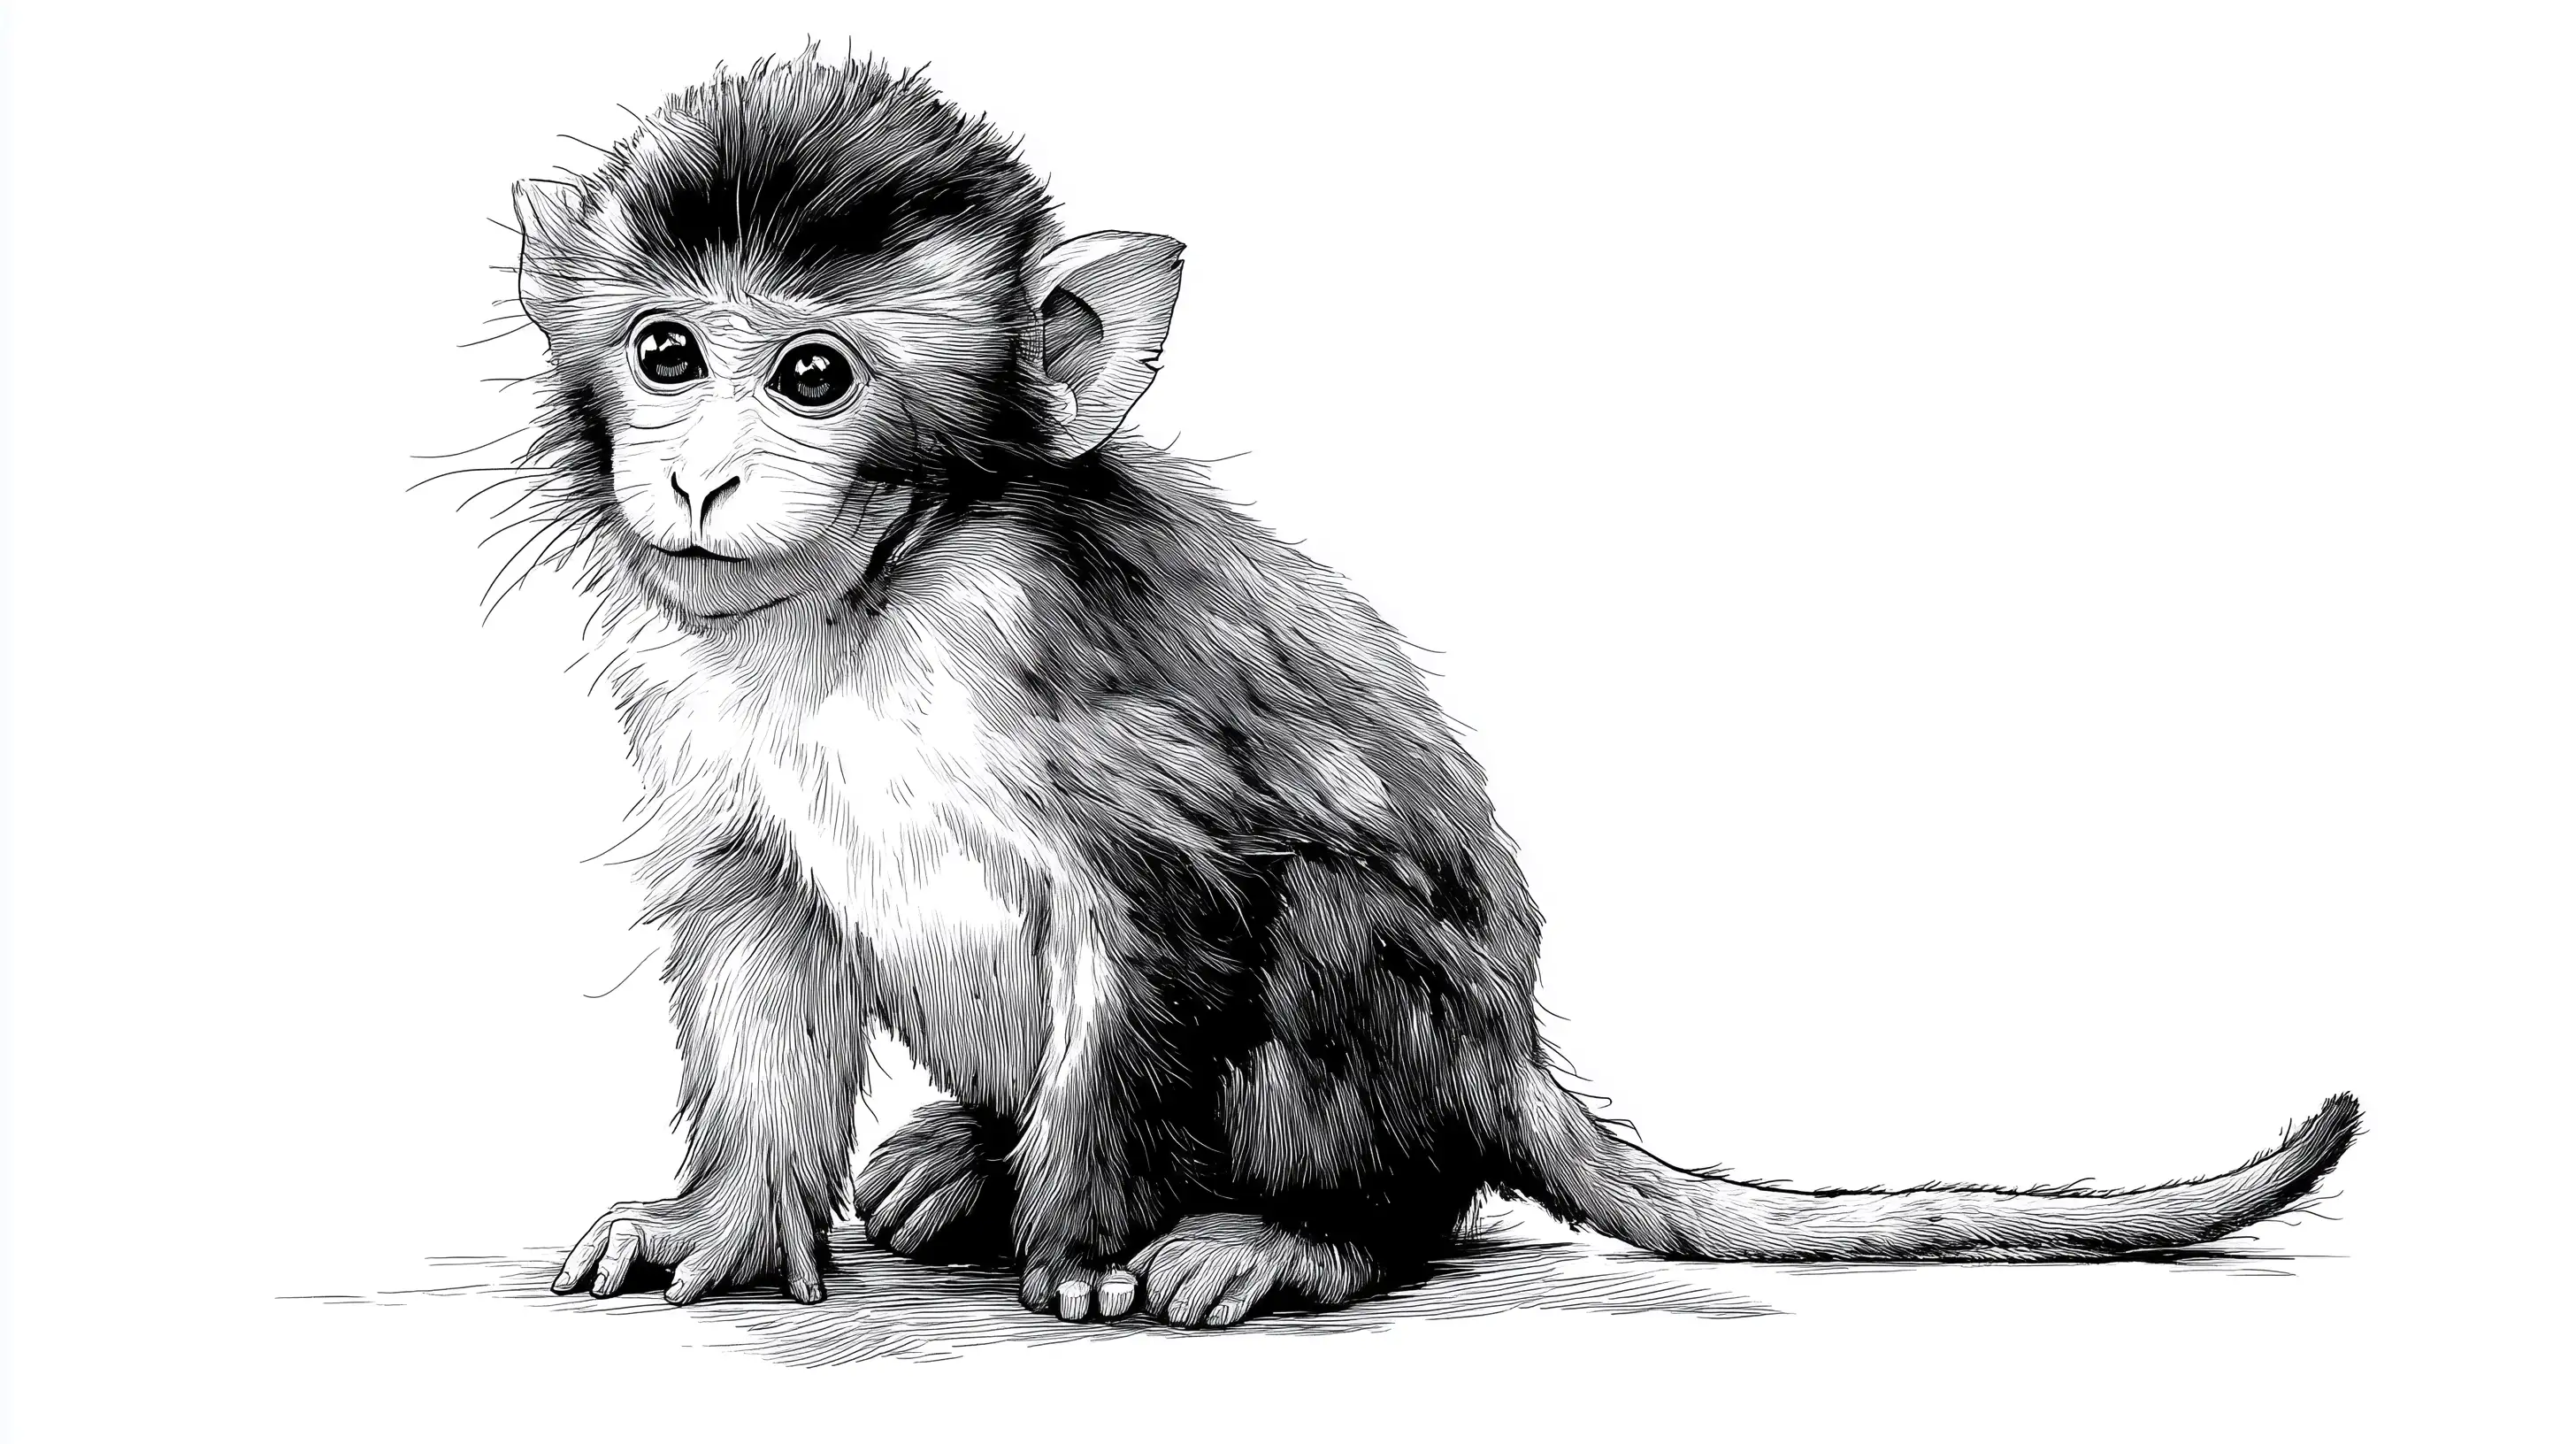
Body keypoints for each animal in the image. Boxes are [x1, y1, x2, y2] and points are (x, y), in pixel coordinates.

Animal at [497, 53, 2359, 1329]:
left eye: (812, 373)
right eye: (667, 352)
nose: (702, 476)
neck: (872, 605)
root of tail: (1504, 1060)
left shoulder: (1081, 702)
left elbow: (1164, 910)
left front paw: (1085, 1247)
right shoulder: (713, 715)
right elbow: (760, 922)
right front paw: (725, 1218)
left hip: (1405, 1055)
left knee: (1334, 932)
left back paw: (1296, 1229)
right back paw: (966, 1150)